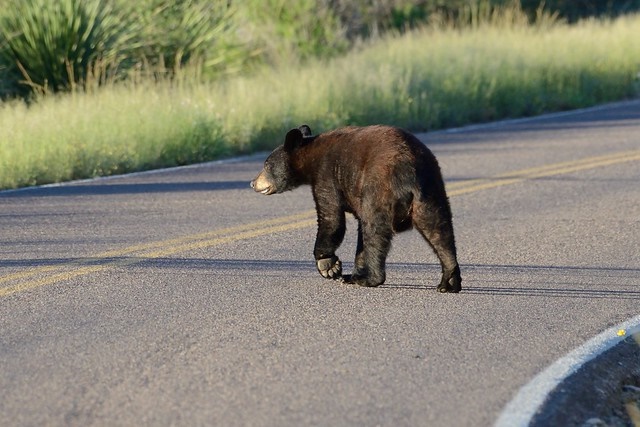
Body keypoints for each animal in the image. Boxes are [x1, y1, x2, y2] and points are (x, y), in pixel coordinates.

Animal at [250, 124, 462, 292]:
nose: (253, 182)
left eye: (266, 164)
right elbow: (359, 234)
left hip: (379, 188)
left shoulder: (326, 177)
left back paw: (371, 279)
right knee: (439, 230)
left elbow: (331, 218)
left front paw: (329, 265)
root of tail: (409, 170)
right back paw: (449, 280)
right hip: (431, 191)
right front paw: (351, 273)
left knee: (375, 231)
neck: (311, 157)